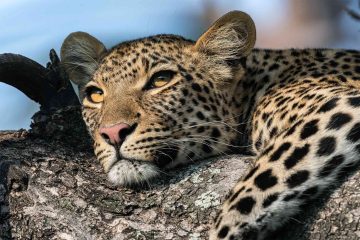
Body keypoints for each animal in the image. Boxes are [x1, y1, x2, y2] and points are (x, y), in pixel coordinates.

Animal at [59, 10, 360, 239]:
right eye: (95, 95)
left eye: (161, 80)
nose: (112, 133)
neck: (254, 86)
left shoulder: (341, 103)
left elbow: (258, 183)